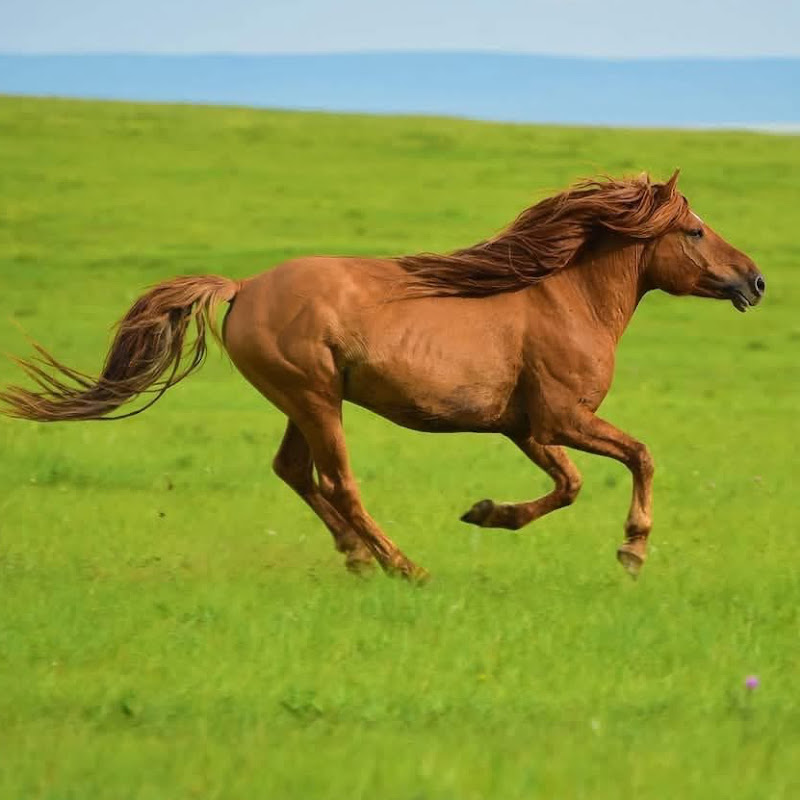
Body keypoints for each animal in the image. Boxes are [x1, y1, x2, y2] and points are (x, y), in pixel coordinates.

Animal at [0, 171, 765, 581]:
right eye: (695, 231)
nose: (755, 282)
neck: (564, 298)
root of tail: (242, 288)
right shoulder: (560, 420)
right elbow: (631, 459)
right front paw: (630, 551)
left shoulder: (526, 429)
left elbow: (575, 482)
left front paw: (490, 513)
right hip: (315, 397)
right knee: (338, 480)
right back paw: (404, 566)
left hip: (303, 400)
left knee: (293, 471)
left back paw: (357, 557)